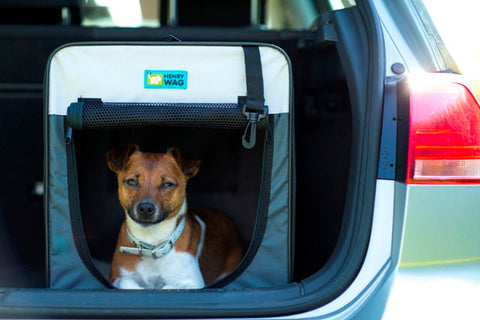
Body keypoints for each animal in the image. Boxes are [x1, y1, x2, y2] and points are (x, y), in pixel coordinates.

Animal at [107, 145, 242, 290]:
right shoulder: (116, 277)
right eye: (132, 182)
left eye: (167, 184)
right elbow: (127, 283)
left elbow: (166, 287)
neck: (152, 242)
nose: (145, 208)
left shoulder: (192, 282)